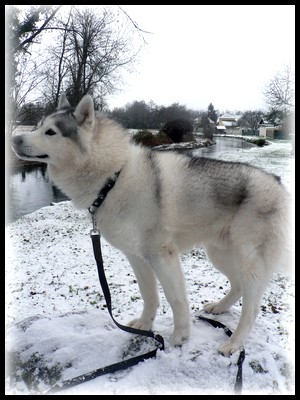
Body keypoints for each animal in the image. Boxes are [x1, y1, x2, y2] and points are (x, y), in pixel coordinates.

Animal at [11, 94, 292, 356]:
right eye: (37, 126)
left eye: (50, 132)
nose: (15, 140)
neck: (114, 176)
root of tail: (278, 183)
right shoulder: (137, 257)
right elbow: (149, 295)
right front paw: (145, 326)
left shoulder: (161, 256)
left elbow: (175, 298)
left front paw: (180, 336)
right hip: (220, 254)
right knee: (237, 286)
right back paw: (219, 308)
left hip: (247, 262)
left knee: (252, 308)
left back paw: (234, 343)